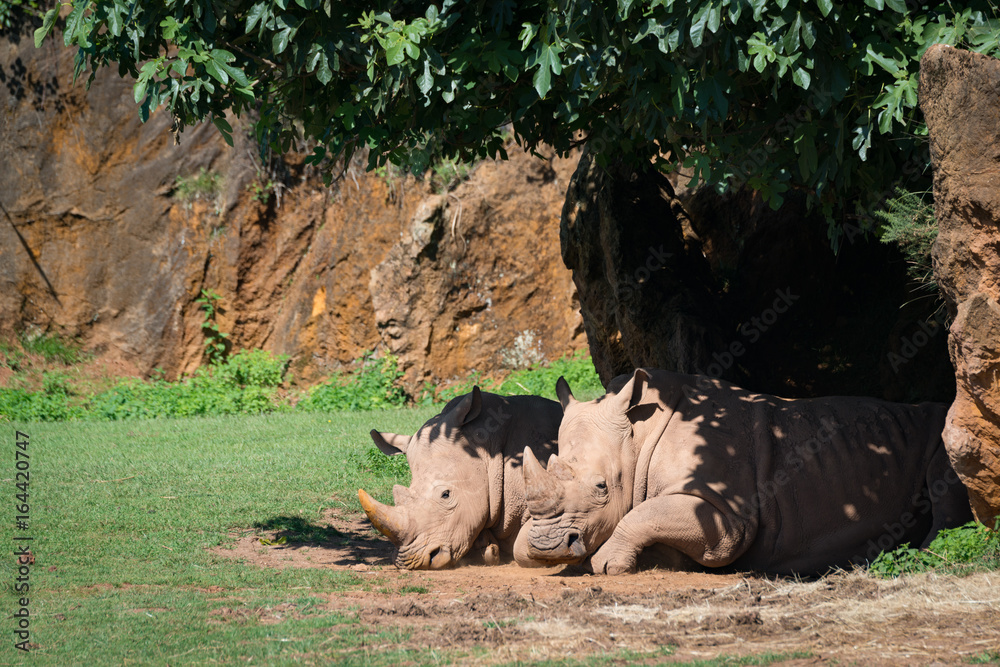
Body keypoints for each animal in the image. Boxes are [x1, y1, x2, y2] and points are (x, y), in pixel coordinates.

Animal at [521, 369, 972, 575]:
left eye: (601, 487)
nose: (545, 547)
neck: (638, 436)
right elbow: (650, 514)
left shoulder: (727, 513)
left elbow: (646, 514)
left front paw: (608, 566)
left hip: (944, 435)